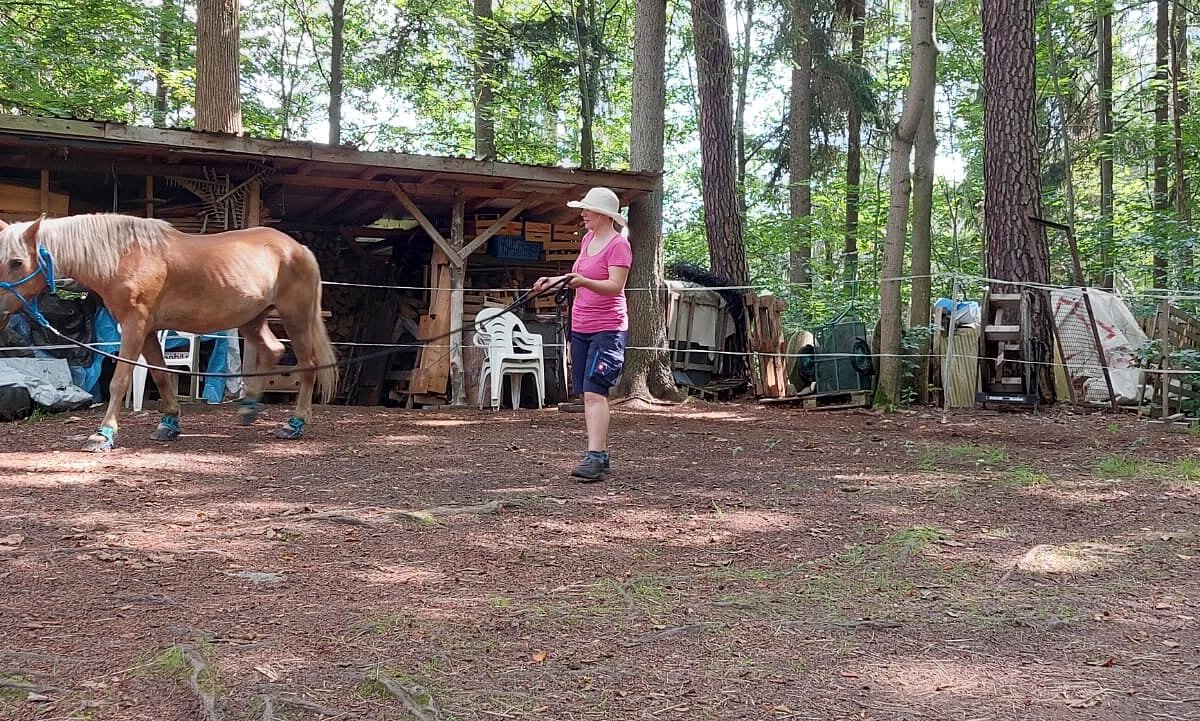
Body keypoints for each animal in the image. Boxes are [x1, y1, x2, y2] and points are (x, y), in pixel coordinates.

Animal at [0, 214, 338, 452]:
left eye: (16, 261)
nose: (1, 309)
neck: (123, 256)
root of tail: (299, 249)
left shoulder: (135, 326)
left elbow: (119, 380)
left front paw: (103, 434)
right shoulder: (148, 330)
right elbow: (161, 375)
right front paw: (169, 424)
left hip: (295, 318)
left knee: (308, 366)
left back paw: (294, 423)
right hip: (252, 319)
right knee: (274, 351)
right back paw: (249, 409)